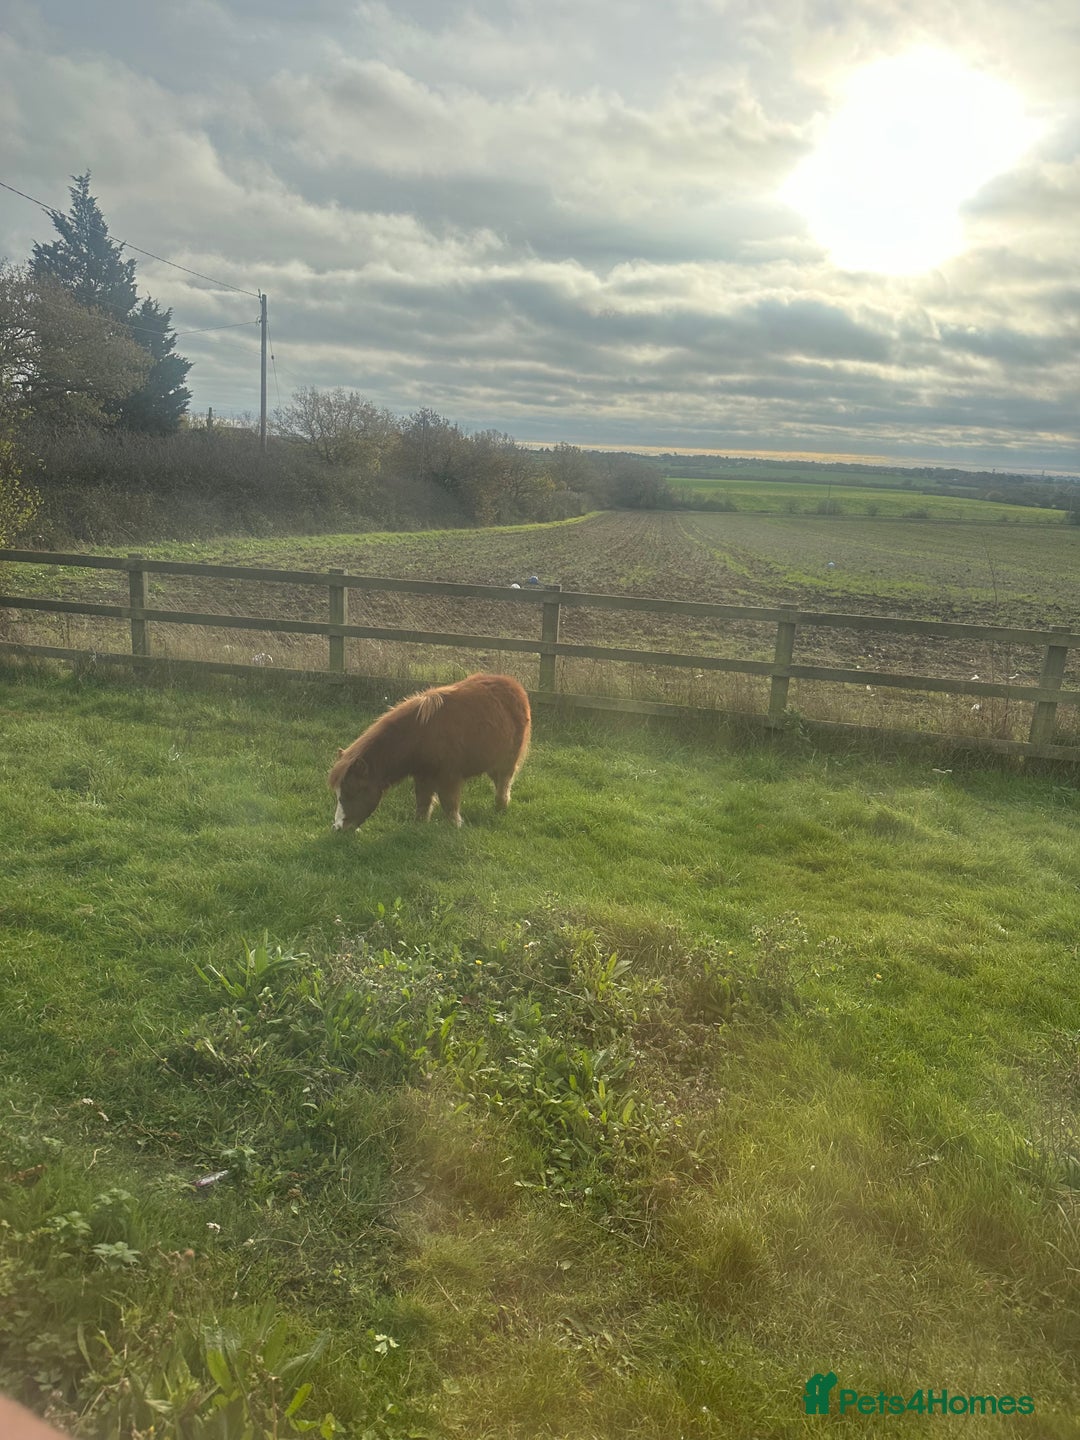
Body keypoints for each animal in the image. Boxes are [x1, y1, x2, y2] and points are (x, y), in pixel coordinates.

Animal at [329, 673, 531, 830]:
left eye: (351, 791)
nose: (338, 827)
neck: (419, 736)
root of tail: (513, 685)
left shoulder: (449, 777)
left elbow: (449, 804)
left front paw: (455, 826)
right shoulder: (423, 776)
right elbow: (423, 802)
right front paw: (419, 826)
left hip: (507, 761)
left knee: (504, 782)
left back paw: (501, 807)